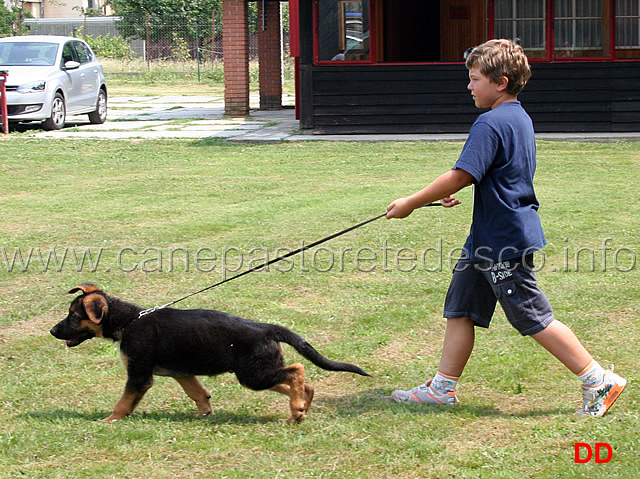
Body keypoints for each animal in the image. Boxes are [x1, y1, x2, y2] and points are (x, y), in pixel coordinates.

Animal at [51, 284, 370, 424]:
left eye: (73, 316)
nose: (53, 331)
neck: (129, 321)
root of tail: (266, 328)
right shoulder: (182, 372)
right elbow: (197, 392)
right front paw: (204, 413)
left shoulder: (139, 375)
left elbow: (123, 402)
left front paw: (109, 420)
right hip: (257, 372)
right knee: (304, 383)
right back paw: (300, 409)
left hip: (253, 374)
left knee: (297, 371)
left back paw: (296, 409)